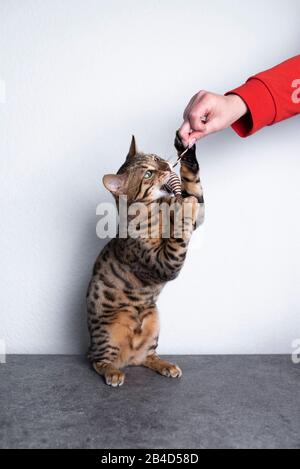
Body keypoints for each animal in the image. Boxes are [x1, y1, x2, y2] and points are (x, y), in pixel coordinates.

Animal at [85, 133, 205, 386]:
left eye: (158, 159)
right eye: (148, 174)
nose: (167, 166)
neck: (156, 209)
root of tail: (128, 358)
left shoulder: (199, 217)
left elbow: (194, 189)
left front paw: (186, 147)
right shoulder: (163, 263)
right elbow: (178, 236)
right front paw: (183, 207)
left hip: (153, 319)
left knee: (147, 356)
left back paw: (166, 365)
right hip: (110, 330)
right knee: (97, 360)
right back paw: (113, 373)